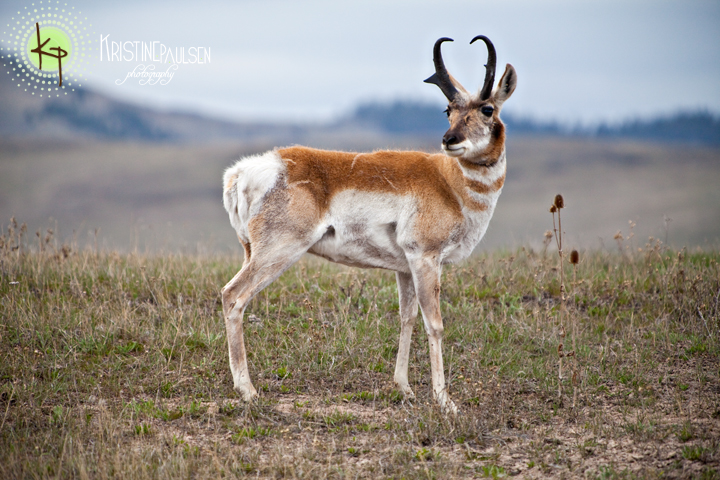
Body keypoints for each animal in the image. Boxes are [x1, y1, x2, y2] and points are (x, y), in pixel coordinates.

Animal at [222, 34, 516, 412]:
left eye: (487, 109)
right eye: (448, 110)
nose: (449, 140)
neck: (448, 181)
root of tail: (245, 171)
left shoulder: (405, 267)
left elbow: (407, 317)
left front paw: (404, 387)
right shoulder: (426, 259)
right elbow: (434, 323)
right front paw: (444, 400)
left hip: (253, 252)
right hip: (277, 252)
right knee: (233, 296)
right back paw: (247, 390)